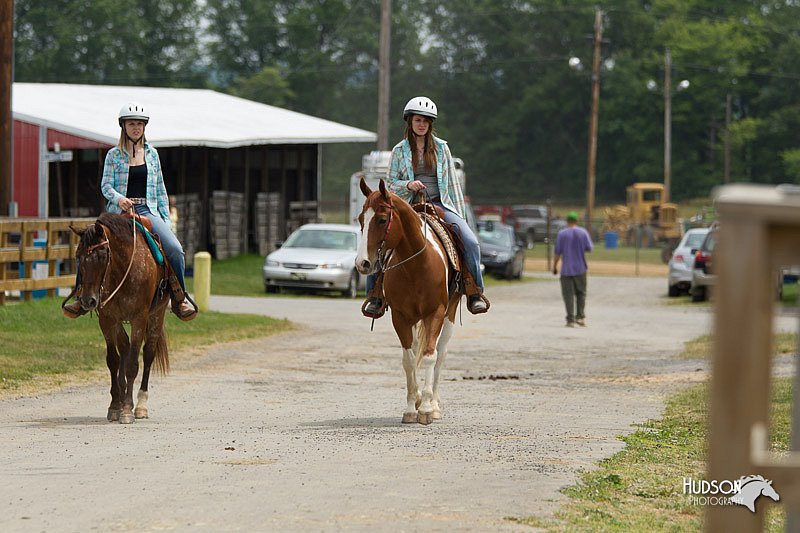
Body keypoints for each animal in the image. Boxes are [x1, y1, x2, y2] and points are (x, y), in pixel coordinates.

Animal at [70, 212, 170, 424]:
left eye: (102, 256)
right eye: (78, 257)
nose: (88, 300)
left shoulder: (139, 318)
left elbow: (133, 364)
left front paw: (126, 410)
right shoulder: (107, 318)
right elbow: (113, 360)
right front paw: (115, 405)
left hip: (157, 315)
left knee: (148, 354)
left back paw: (140, 405)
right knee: (124, 346)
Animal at [354, 178, 460, 424]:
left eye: (382, 219)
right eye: (361, 219)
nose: (362, 263)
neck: (417, 266)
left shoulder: (435, 313)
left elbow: (430, 356)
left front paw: (427, 409)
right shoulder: (400, 317)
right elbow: (409, 359)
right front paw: (413, 407)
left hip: (450, 312)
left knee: (442, 353)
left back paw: (435, 404)